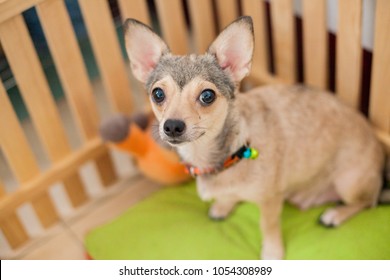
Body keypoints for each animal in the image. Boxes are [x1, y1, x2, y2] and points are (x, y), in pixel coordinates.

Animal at [123, 16, 386, 260]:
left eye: (207, 96)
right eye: (158, 94)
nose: (172, 126)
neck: (225, 156)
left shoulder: (270, 201)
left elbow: (267, 226)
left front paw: (272, 251)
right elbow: (228, 196)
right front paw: (223, 205)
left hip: (349, 183)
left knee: (368, 201)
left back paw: (335, 214)